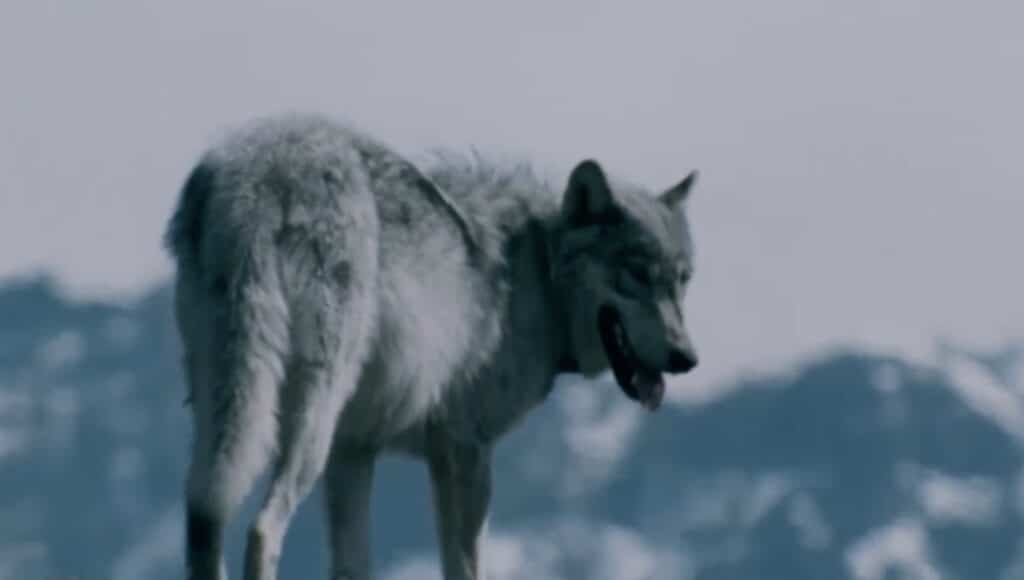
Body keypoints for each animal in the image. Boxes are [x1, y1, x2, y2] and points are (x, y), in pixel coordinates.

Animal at [164, 112, 700, 580]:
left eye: (681, 281)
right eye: (636, 275)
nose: (688, 358)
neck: (539, 275)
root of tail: (259, 171)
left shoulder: (354, 450)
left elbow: (352, 567)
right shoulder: (466, 451)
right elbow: (464, 568)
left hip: (225, 416)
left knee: (203, 522)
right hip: (306, 420)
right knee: (262, 528)